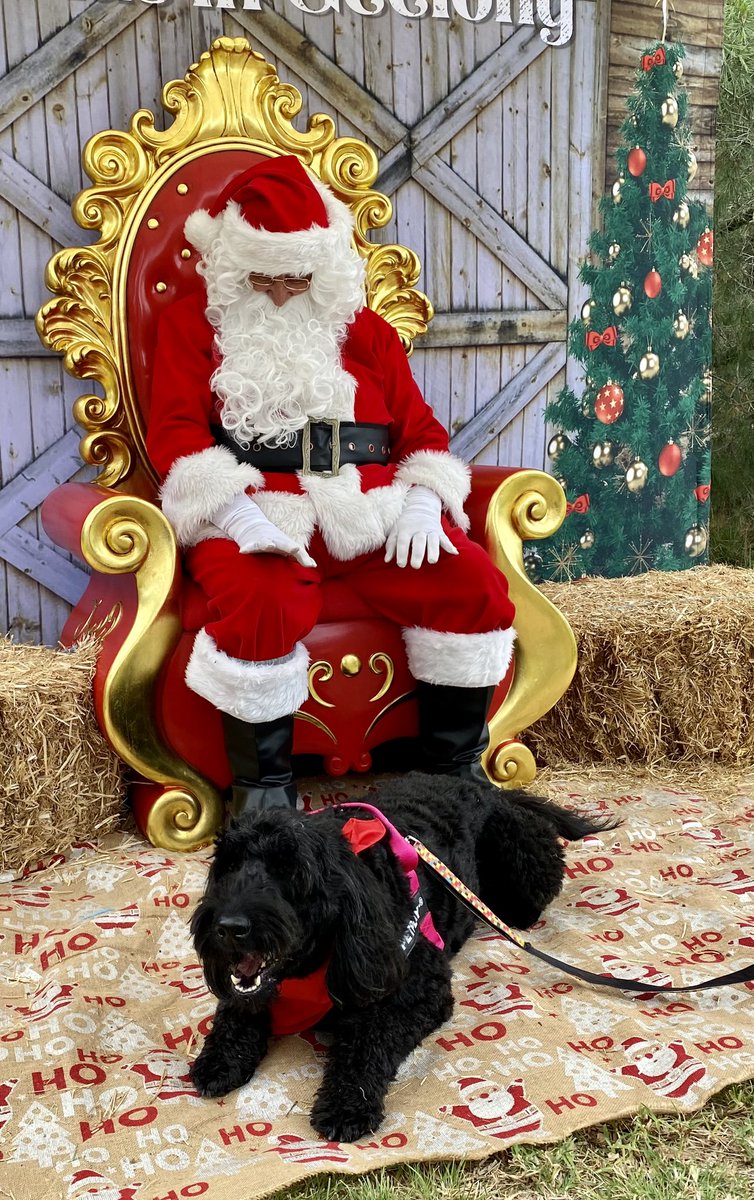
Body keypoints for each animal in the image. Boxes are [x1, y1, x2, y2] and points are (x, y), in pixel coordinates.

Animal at [188, 772, 612, 1137]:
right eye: (228, 866)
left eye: (289, 869)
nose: (227, 927)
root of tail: (489, 790)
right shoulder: (252, 992)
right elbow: (235, 1011)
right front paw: (220, 1059)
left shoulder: (417, 992)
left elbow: (366, 1044)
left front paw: (346, 1105)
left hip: (521, 859)